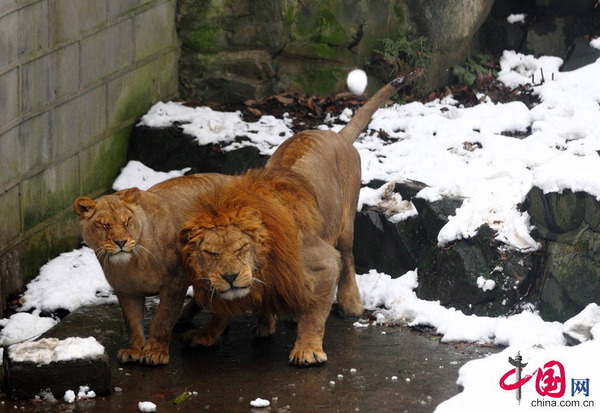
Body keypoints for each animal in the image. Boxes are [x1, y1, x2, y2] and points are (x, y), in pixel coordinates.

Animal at [75, 173, 230, 364]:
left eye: (127, 222)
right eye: (104, 225)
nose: (121, 242)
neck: (131, 263)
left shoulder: (175, 282)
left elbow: (162, 319)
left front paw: (156, 351)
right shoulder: (126, 290)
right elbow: (132, 322)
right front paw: (133, 349)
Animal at [178, 70, 422, 364]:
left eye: (241, 248)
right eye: (211, 253)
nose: (229, 276)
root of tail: (336, 135)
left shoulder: (324, 261)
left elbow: (314, 314)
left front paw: (307, 349)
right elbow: (222, 309)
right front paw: (207, 333)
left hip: (345, 224)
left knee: (348, 257)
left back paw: (350, 304)